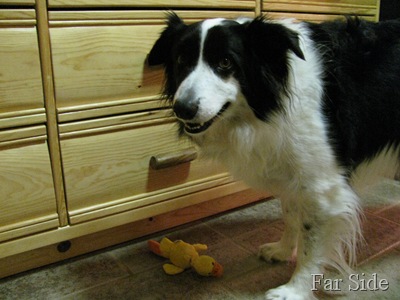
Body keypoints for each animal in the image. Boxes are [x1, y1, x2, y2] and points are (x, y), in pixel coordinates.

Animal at [148, 14, 400, 300]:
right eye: (181, 60)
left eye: (226, 62)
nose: (183, 109)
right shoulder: (291, 168)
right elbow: (290, 214)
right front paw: (282, 250)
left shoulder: (321, 186)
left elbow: (311, 243)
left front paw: (295, 289)